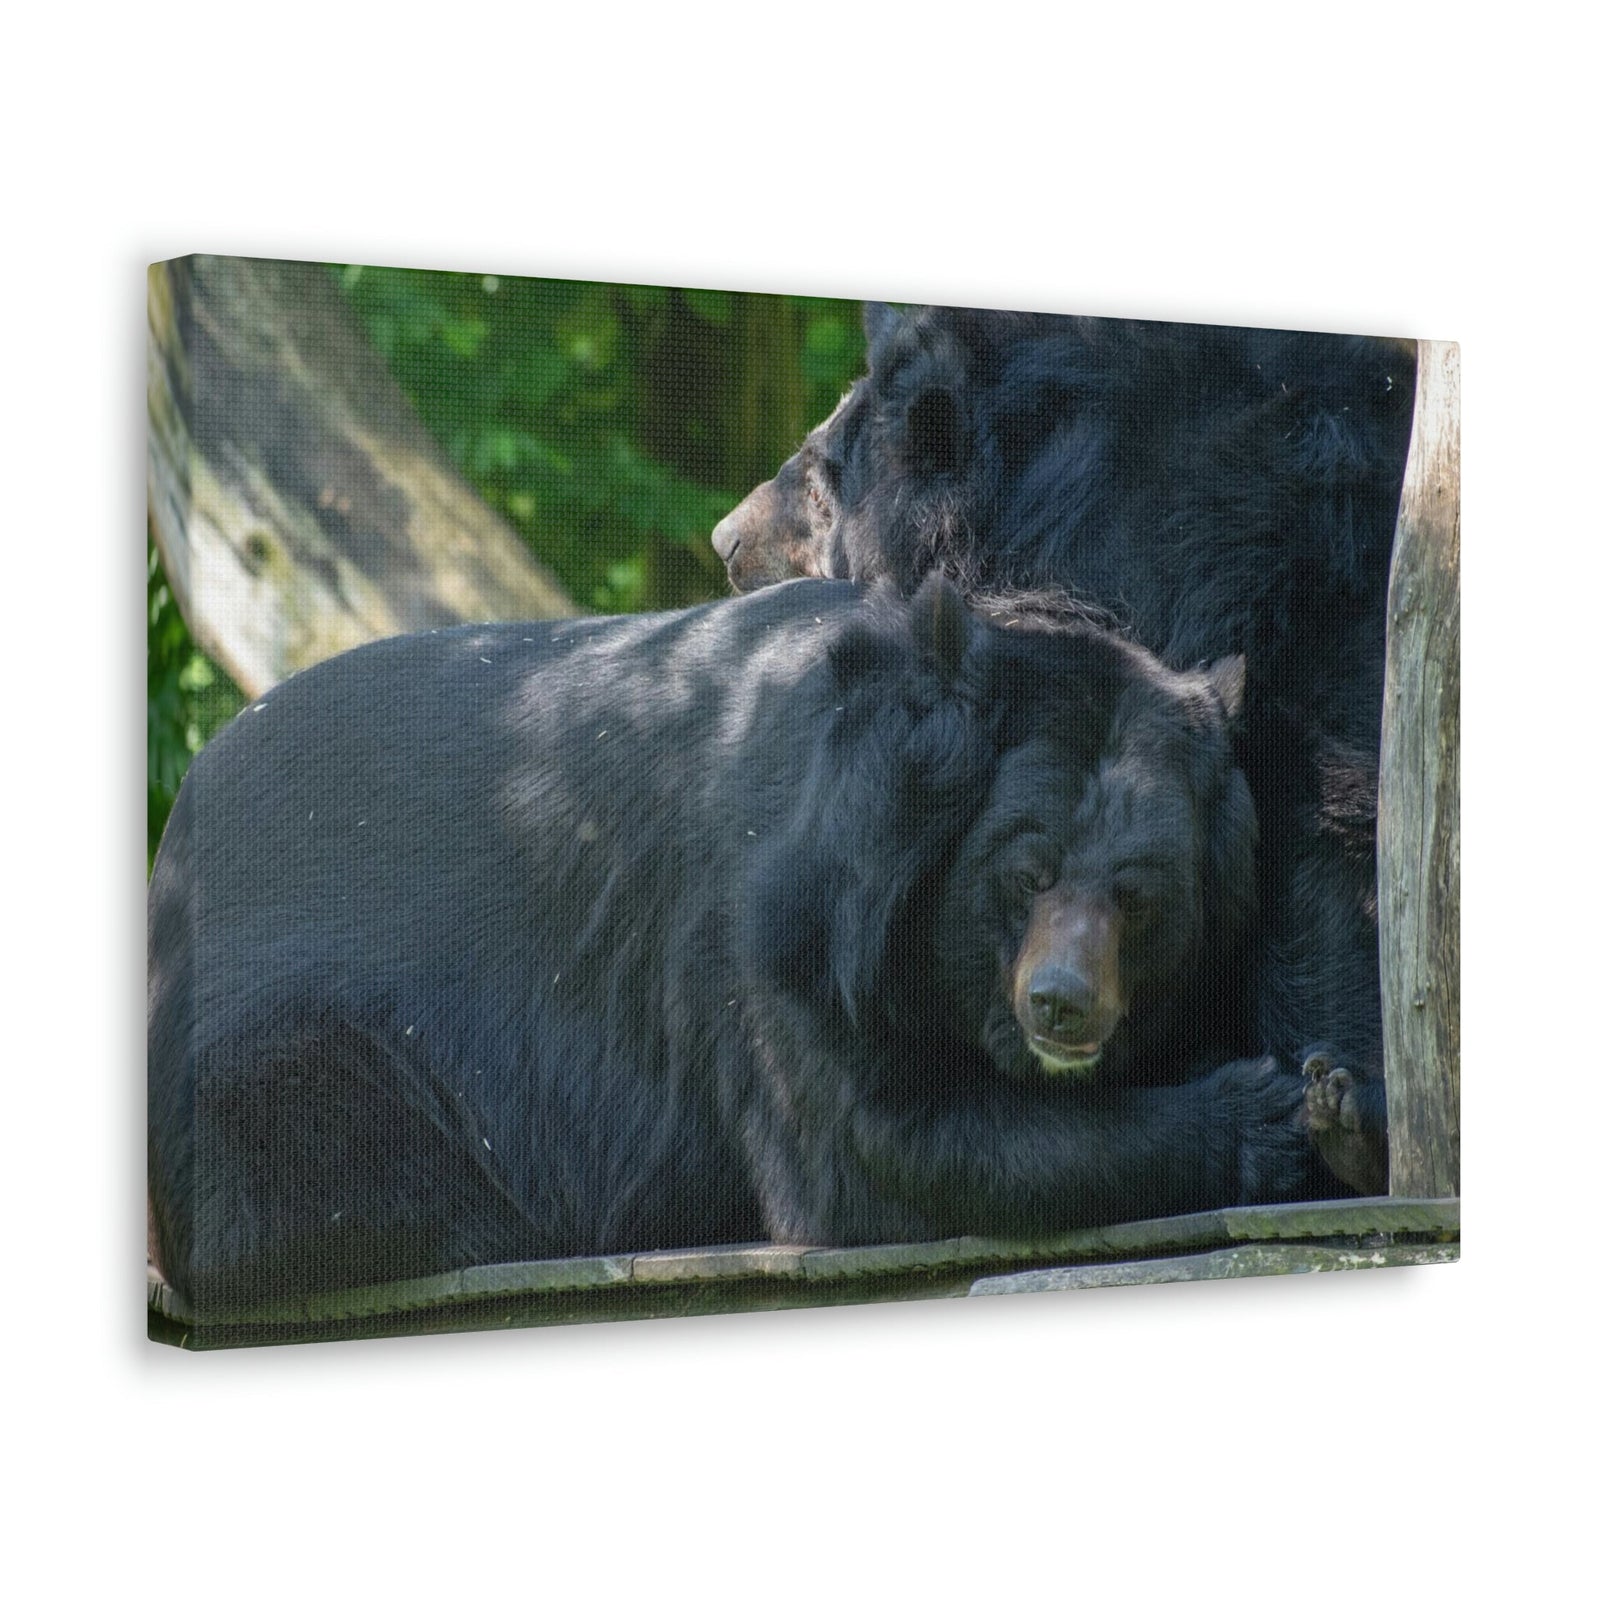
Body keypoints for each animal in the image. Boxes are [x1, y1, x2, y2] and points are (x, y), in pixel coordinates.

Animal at [147, 574, 1306, 1314]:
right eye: (1025, 872)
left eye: (1138, 898)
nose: (1063, 1003)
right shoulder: (780, 926)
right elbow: (876, 1146)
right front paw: (1271, 1113)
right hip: (284, 1036)